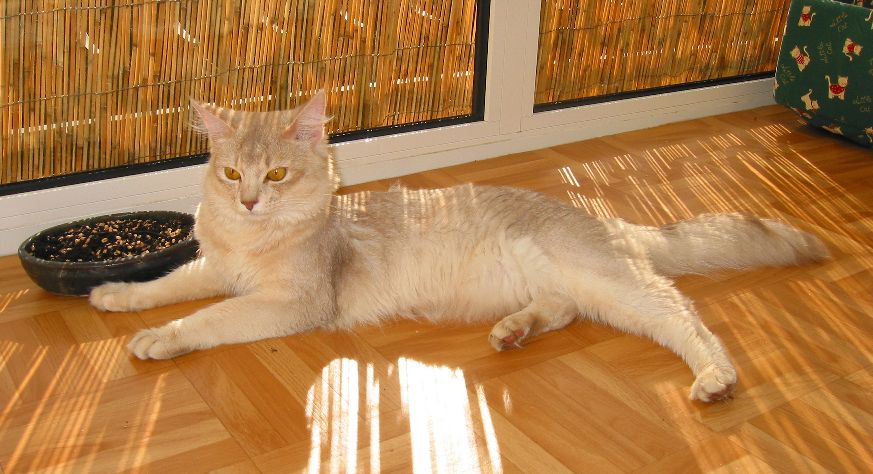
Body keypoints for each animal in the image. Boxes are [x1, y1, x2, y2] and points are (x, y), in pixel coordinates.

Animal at [89, 92, 829, 403]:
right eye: (230, 174)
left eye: (274, 175)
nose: (247, 200)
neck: (251, 237)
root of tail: (600, 216)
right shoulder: (217, 265)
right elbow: (170, 286)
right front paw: (115, 294)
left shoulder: (293, 303)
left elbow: (206, 317)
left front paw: (159, 339)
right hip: (575, 288)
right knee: (561, 309)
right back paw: (512, 331)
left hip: (613, 283)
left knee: (684, 317)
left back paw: (715, 379)